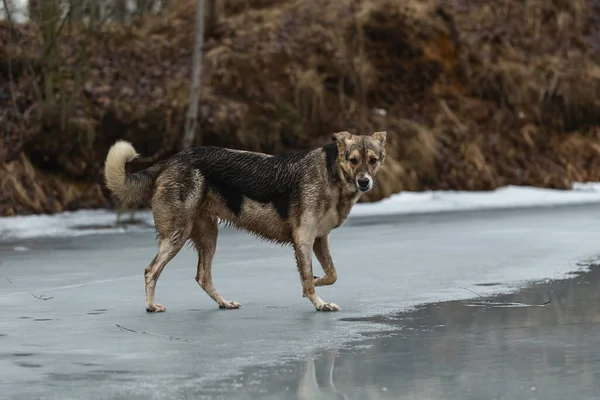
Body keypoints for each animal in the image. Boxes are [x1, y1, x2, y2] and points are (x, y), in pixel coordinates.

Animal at [104, 131, 390, 312]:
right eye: (353, 160)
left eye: (373, 161)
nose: (364, 182)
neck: (332, 176)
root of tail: (171, 160)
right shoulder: (303, 239)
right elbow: (309, 277)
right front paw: (319, 302)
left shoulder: (319, 240)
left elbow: (331, 274)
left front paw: (316, 283)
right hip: (177, 235)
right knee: (151, 271)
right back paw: (151, 307)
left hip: (208, 236)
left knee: (202, 276)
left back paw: (224, 303)